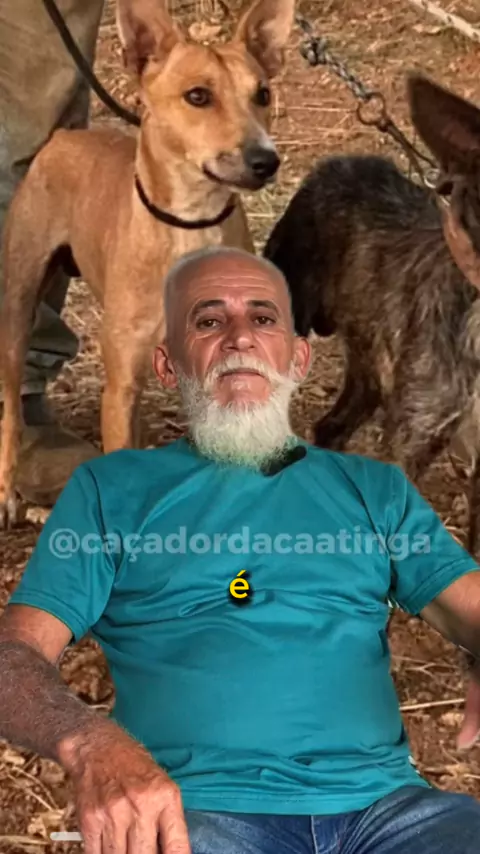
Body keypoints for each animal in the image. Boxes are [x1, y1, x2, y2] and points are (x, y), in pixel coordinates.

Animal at [0, 0, 295, 527]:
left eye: (262, 93)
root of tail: (63, 139)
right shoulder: (119, 386)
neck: (190, 228)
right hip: (18, 307)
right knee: (11, 406)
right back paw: (7, 491)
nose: (266, 160)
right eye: (198, 95)